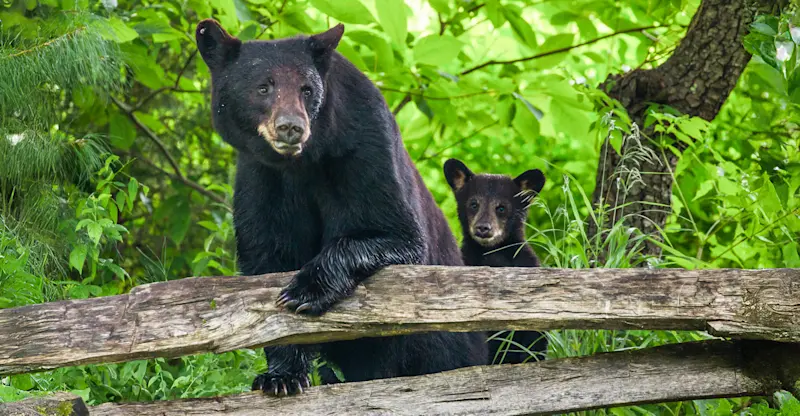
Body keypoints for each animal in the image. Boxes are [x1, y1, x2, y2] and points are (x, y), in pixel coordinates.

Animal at [195, 20, 487, 396]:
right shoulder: (261, 177)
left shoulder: (363, 146)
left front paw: (305, 290)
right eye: (263, 87)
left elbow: (395, 233)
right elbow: (266, 257)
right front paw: (281, 375)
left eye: (306, 90)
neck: (303, 162)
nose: (291, 127)